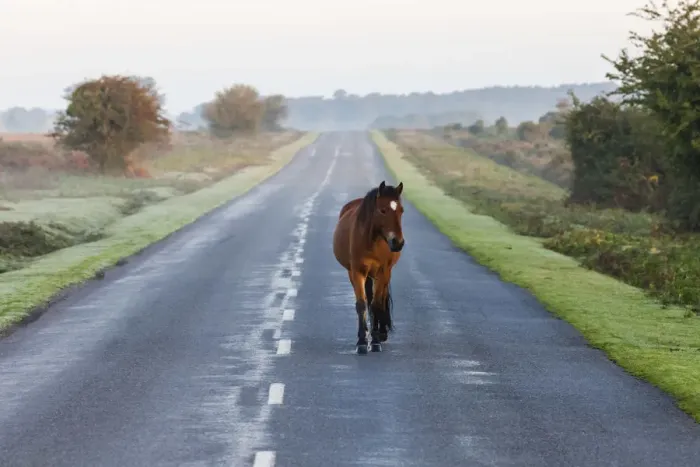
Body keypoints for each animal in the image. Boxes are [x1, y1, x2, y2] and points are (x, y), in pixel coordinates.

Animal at [332, 180, 406, 354]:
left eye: (401, 210)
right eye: (383, 210)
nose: (398, 242)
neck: (372, 241)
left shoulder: (383, 272)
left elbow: (377, 304)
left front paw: (376, 340)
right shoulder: (357, 272)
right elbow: (361, 304)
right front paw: (362, 341)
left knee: (380, 299)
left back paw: (381, 332)